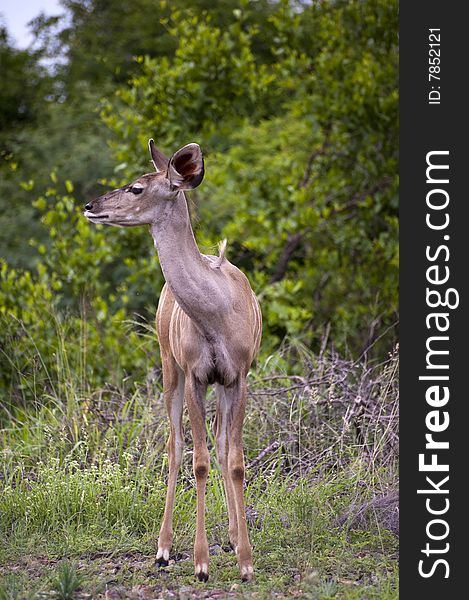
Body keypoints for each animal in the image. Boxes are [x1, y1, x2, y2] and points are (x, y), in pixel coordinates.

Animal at [83, 141, 260, 580]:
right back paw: (163, 550)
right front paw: (200, 563)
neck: (215, 313)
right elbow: (198, 462)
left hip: (211, 381)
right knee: (176, 446)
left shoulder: (239, 374)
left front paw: (246, 561)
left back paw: (233, 537)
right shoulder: (196, 373)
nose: (90, 205)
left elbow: (234, 460)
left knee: (218, 443)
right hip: (168, 365)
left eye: (136, 187)